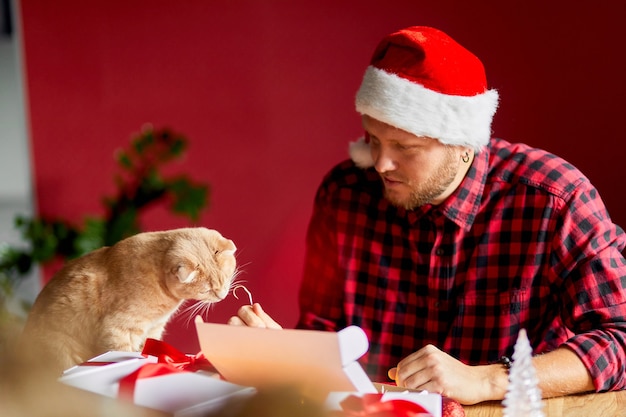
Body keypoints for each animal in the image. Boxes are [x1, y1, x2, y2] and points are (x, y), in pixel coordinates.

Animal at [19, 226, 238, 376]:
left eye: (226, 278)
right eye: (207, 289)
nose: (222, 294)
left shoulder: (154, 328)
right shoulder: (118, 330)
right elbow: (126, 351)